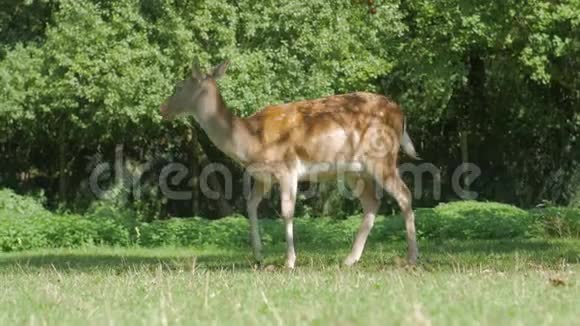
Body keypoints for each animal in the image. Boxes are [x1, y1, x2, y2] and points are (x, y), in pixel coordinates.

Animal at [161, 59, 420, 268]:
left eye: (179, 86)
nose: (163, 108)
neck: (249, 140)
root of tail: (402, 114)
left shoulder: (287, 168)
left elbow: (286, 211)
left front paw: (290, 260)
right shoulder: (262, 176)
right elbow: (251, 205)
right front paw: (258, 255)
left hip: (382, 157)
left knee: (404, 194)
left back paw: (412, 257)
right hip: (354, 170)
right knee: (372, 202)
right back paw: (350, 258)